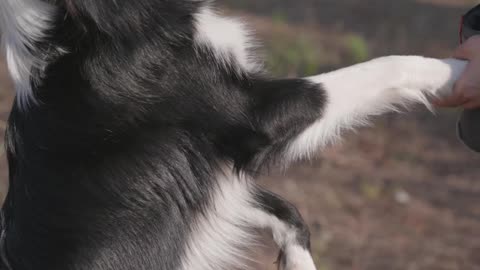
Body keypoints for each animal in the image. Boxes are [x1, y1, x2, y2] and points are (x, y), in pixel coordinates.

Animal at [0, 0, 464, 270]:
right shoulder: (257, 116)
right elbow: (391, 65)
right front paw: (457, 71)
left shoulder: (213, 170)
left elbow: (282, 210)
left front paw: (298, 262)